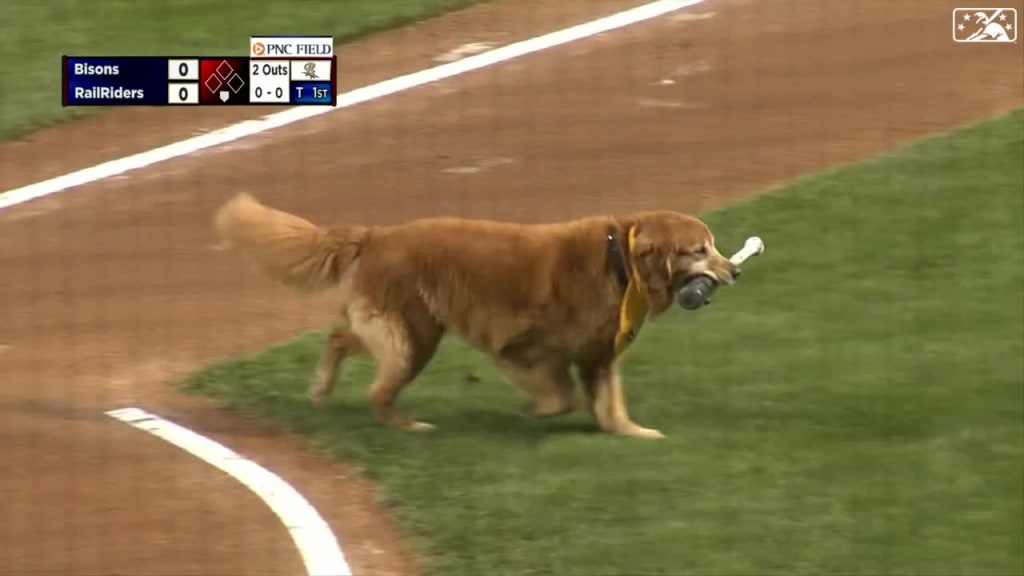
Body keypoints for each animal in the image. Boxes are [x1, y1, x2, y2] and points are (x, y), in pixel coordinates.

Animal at [211, 194, 737, 436]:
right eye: (700, 249)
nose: (734, 269)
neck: (619, 260)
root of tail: (378, 234)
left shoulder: (597, 356)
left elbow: (610, 406)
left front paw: (631, 433)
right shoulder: (523, 347)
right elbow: (562, 396)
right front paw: (536, 412)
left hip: (400, 330)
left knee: (340, 337)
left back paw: (320, 389)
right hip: (413, 338)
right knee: (377, 390)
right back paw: (407, 426)